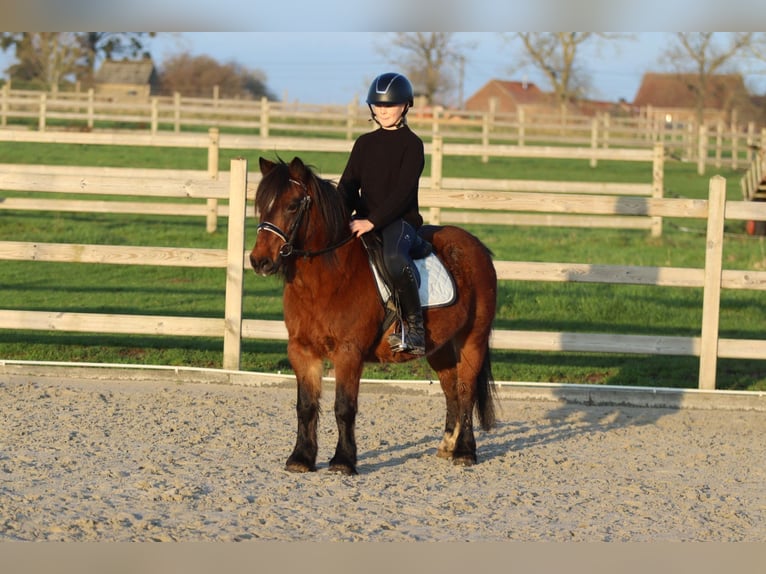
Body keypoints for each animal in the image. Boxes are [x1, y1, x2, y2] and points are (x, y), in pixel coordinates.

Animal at [249, 156, 498, 475]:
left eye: (293, 205)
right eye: (261, 204)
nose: (259, 261)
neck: (327, 279)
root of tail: (476, 247)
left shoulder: (348, 352)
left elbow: (344, 407)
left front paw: (343, 461)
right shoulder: (301, 350)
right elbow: (306, 406)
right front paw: (301, 458)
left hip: (472, 340)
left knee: (466, 390)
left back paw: (465, 452)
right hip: (440, 348)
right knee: (451, 390)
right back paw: (447, 446)